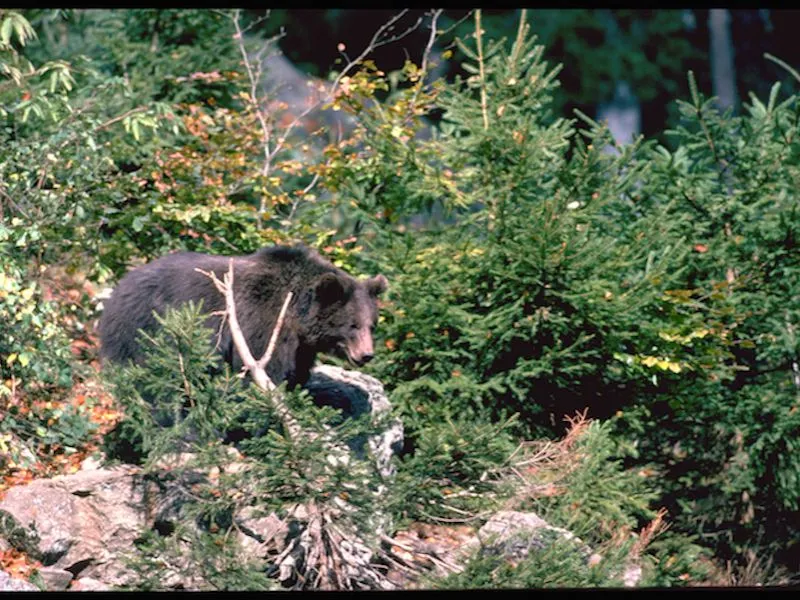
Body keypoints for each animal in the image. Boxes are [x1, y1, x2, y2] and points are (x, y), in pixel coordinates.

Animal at [98, 244, 388, 388]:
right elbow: (262, 368)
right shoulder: (262, 321)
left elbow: (296, 373)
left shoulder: (300, 346)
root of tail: (116, 290)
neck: (296, 313)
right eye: (352, 325)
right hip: (142, 329)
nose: (366, 355)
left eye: (372, 325)